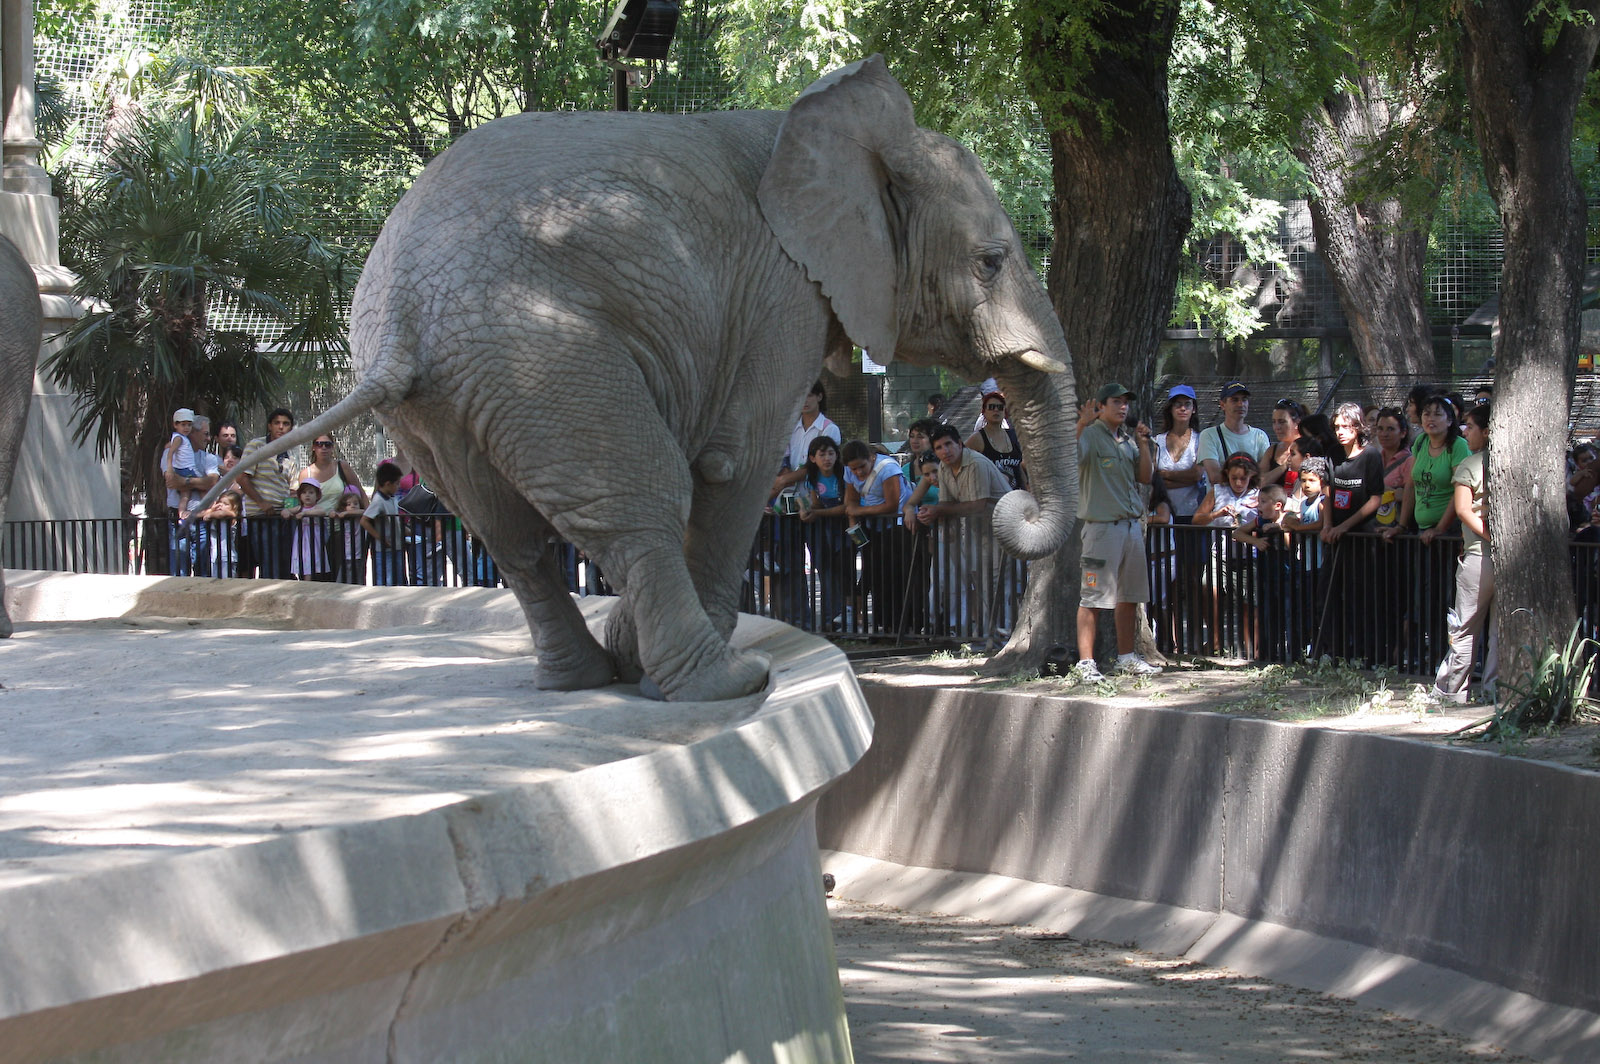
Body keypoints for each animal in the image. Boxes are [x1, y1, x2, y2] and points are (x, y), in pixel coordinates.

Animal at [195, 55, 1077, 701]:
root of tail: (402, 324)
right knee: (640, 501)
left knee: (509, 538)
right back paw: (721, 682)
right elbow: (733, 464)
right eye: (991, 262)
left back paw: (586, 678)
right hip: (544, 353)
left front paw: (628, 650)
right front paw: (674, 655)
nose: (1013, 501)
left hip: (450, 402)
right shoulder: (779, 297)